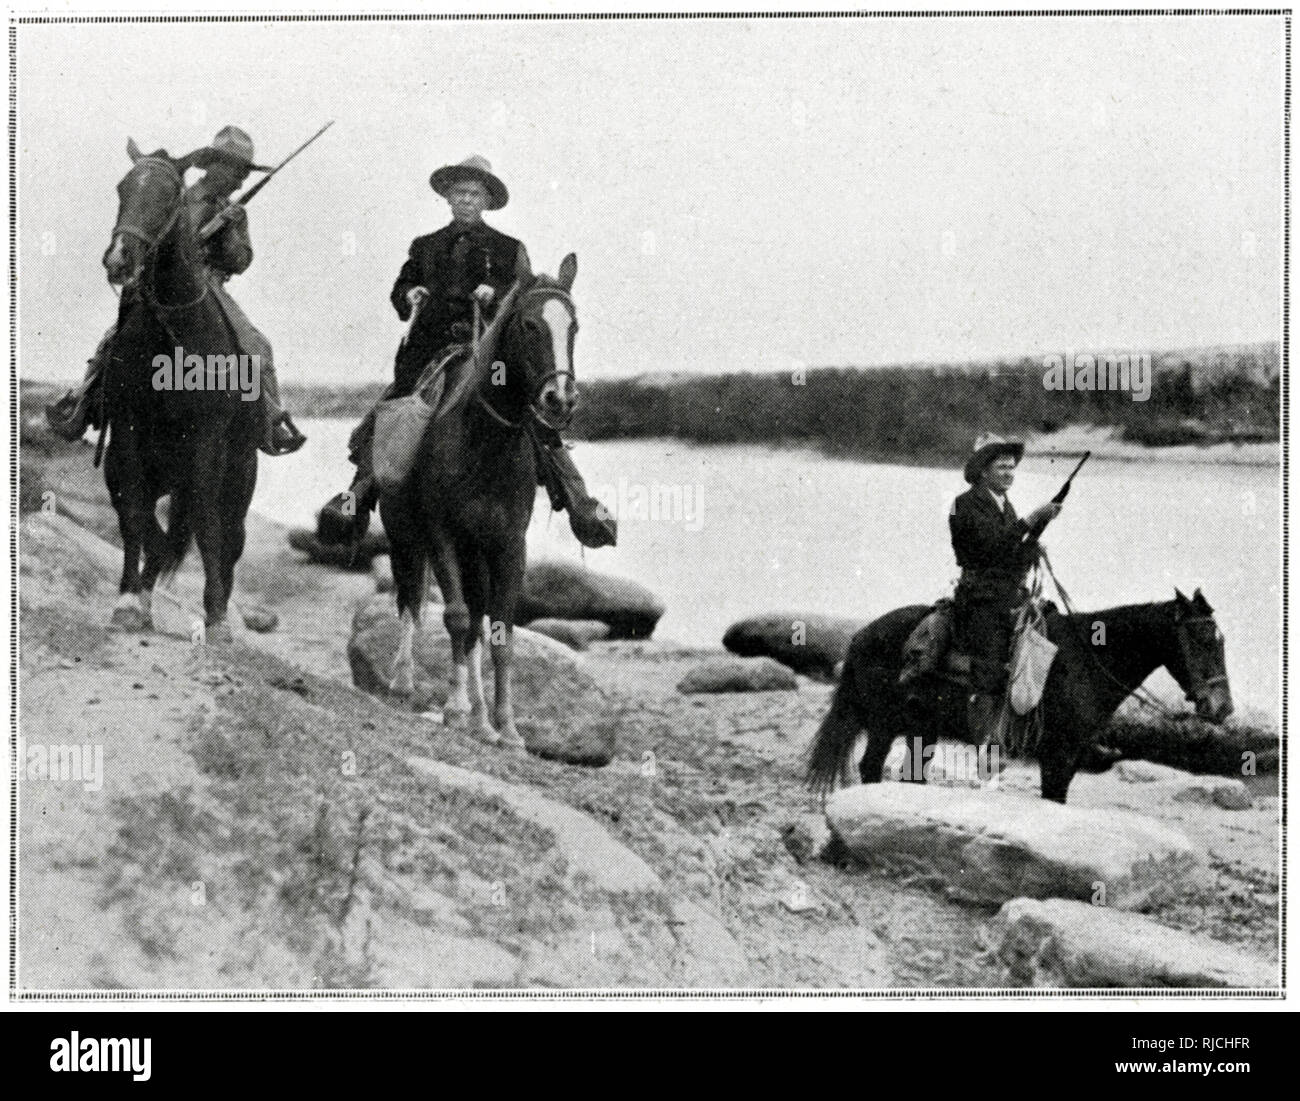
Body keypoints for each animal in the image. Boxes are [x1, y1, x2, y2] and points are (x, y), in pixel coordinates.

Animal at [99, 139, 261, 642]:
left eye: (169, 194)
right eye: (122, 188)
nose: (119, 258)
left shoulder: (207, 443)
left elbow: (207, 527)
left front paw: (217, 620)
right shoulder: (126, 435)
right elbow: (136, 517)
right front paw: (128, 601)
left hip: (239, 479)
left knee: (228, 539)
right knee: (156, 531)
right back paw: (145, 596)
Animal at [377, 249, 579, 748]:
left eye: (574, 326)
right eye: (529, 324)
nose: (561, 399)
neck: (485, 440)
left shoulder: (508, 546)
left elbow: (499, 633)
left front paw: (506, 727)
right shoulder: (441, 534)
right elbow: (454, 617)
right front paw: (453, 707)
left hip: (476, 556)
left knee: (474, 625)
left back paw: (482, 719)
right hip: (405, 536)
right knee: (411, 598)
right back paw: (404, 680)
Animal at [806, 584, 1232, 800]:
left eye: (1220, 640)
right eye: (1200, 639)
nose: (1222, 707)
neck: (1085, 657)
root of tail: (861, 635)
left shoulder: (1072, 755)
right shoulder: (1057, 754)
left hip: (919, 730)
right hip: (884, 725)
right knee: (869, 768)